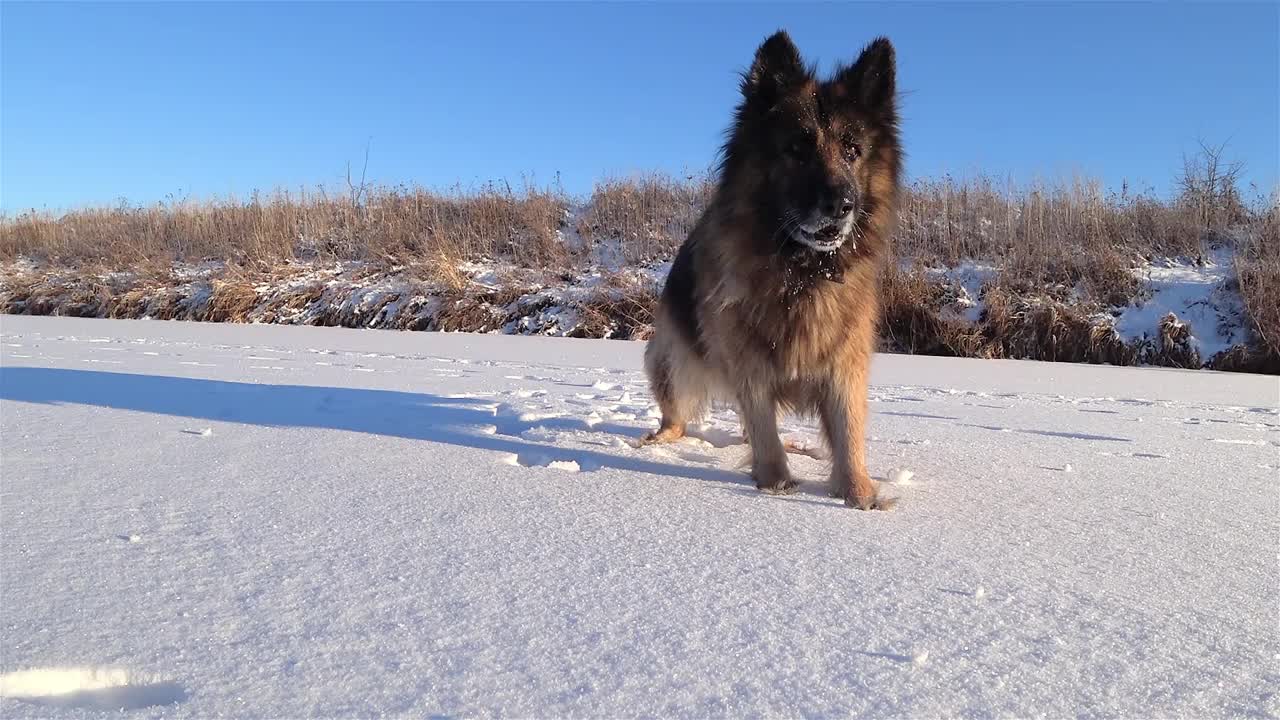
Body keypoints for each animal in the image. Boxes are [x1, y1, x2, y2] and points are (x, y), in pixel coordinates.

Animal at [637, 30, 901, 507]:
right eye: (796, 149)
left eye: (853, 150)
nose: (841, 205)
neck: (801, 273)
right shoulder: (748, 360)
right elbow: (762, 422)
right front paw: (775, 483)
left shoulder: (844, 363)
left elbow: (848, 430)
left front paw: (859, 494)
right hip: (671, 364)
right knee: (677, 418)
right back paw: (657, 441)